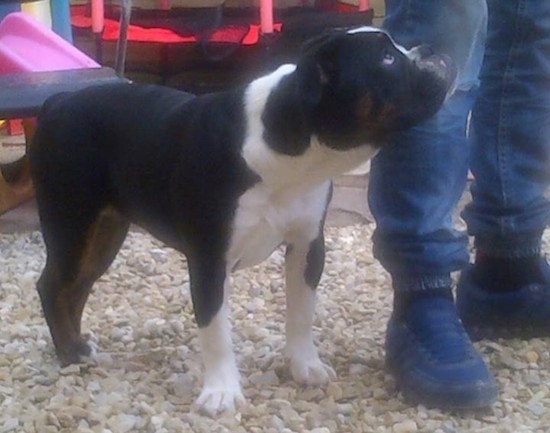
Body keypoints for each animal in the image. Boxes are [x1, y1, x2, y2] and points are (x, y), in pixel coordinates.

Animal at [29, 27, 458, 416]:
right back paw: (70, 352)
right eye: (386, 59)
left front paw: (304, 365)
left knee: (76, 288)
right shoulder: (209, 258)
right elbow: (215, 329)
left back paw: (79, 345)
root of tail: (58, 102)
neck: (291, 148)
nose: (431, 49)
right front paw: (221, 392)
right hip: (73, 227)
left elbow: (301, 312)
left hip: (102, 234)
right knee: (53, 286)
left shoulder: (307, 245)